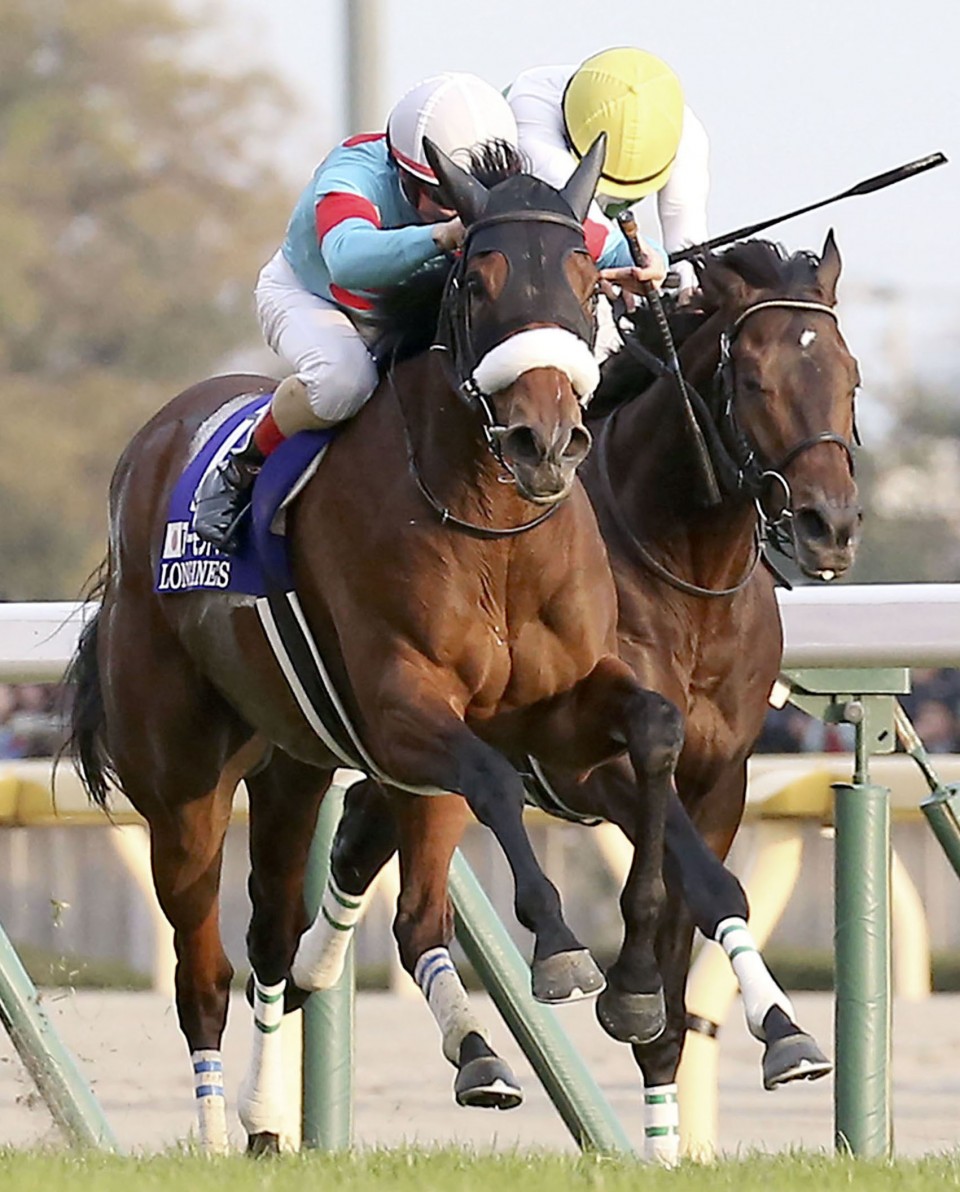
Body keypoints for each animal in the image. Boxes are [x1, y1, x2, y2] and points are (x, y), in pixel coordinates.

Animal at [66, 136, 688, 1153]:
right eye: (477, 278)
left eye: (588, 280)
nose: (547, 441)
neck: (492, 529)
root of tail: (150, 445)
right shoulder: (404, 710)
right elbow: (494, 783)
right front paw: (561, 949)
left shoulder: (556, 705)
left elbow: (657, 730)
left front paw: (635, 985)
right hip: (183, 785)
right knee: (203, 972)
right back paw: (213, 1132)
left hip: (292, 763)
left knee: (296, 936)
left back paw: (342, 1097)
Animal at [316, 231, 861, 1161]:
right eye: (755, 379)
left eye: (850, 376)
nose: (832, 524)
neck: (686, 577)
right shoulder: (584, 768)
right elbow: (690, 882)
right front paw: (635, 989)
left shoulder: (721, 781)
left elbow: (698, 929)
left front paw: (763, 1042)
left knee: (360, 834)